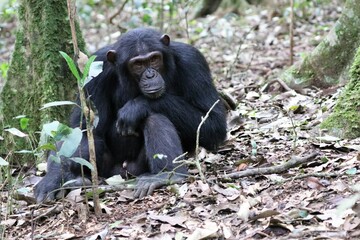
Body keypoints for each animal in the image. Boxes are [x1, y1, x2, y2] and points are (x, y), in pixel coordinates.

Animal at [33, 27, 225, 202]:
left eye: (154, 59)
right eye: (138, 64)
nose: (150, 75)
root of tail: (122, 172)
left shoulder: (192, 61)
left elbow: (213, 122)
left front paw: (136, 106)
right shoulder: (94, 72)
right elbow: (82, 130)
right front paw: (53, 179)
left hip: (136, 168)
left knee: (155, 118)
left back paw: (167, 175)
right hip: (107, 169)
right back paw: (75, 180)